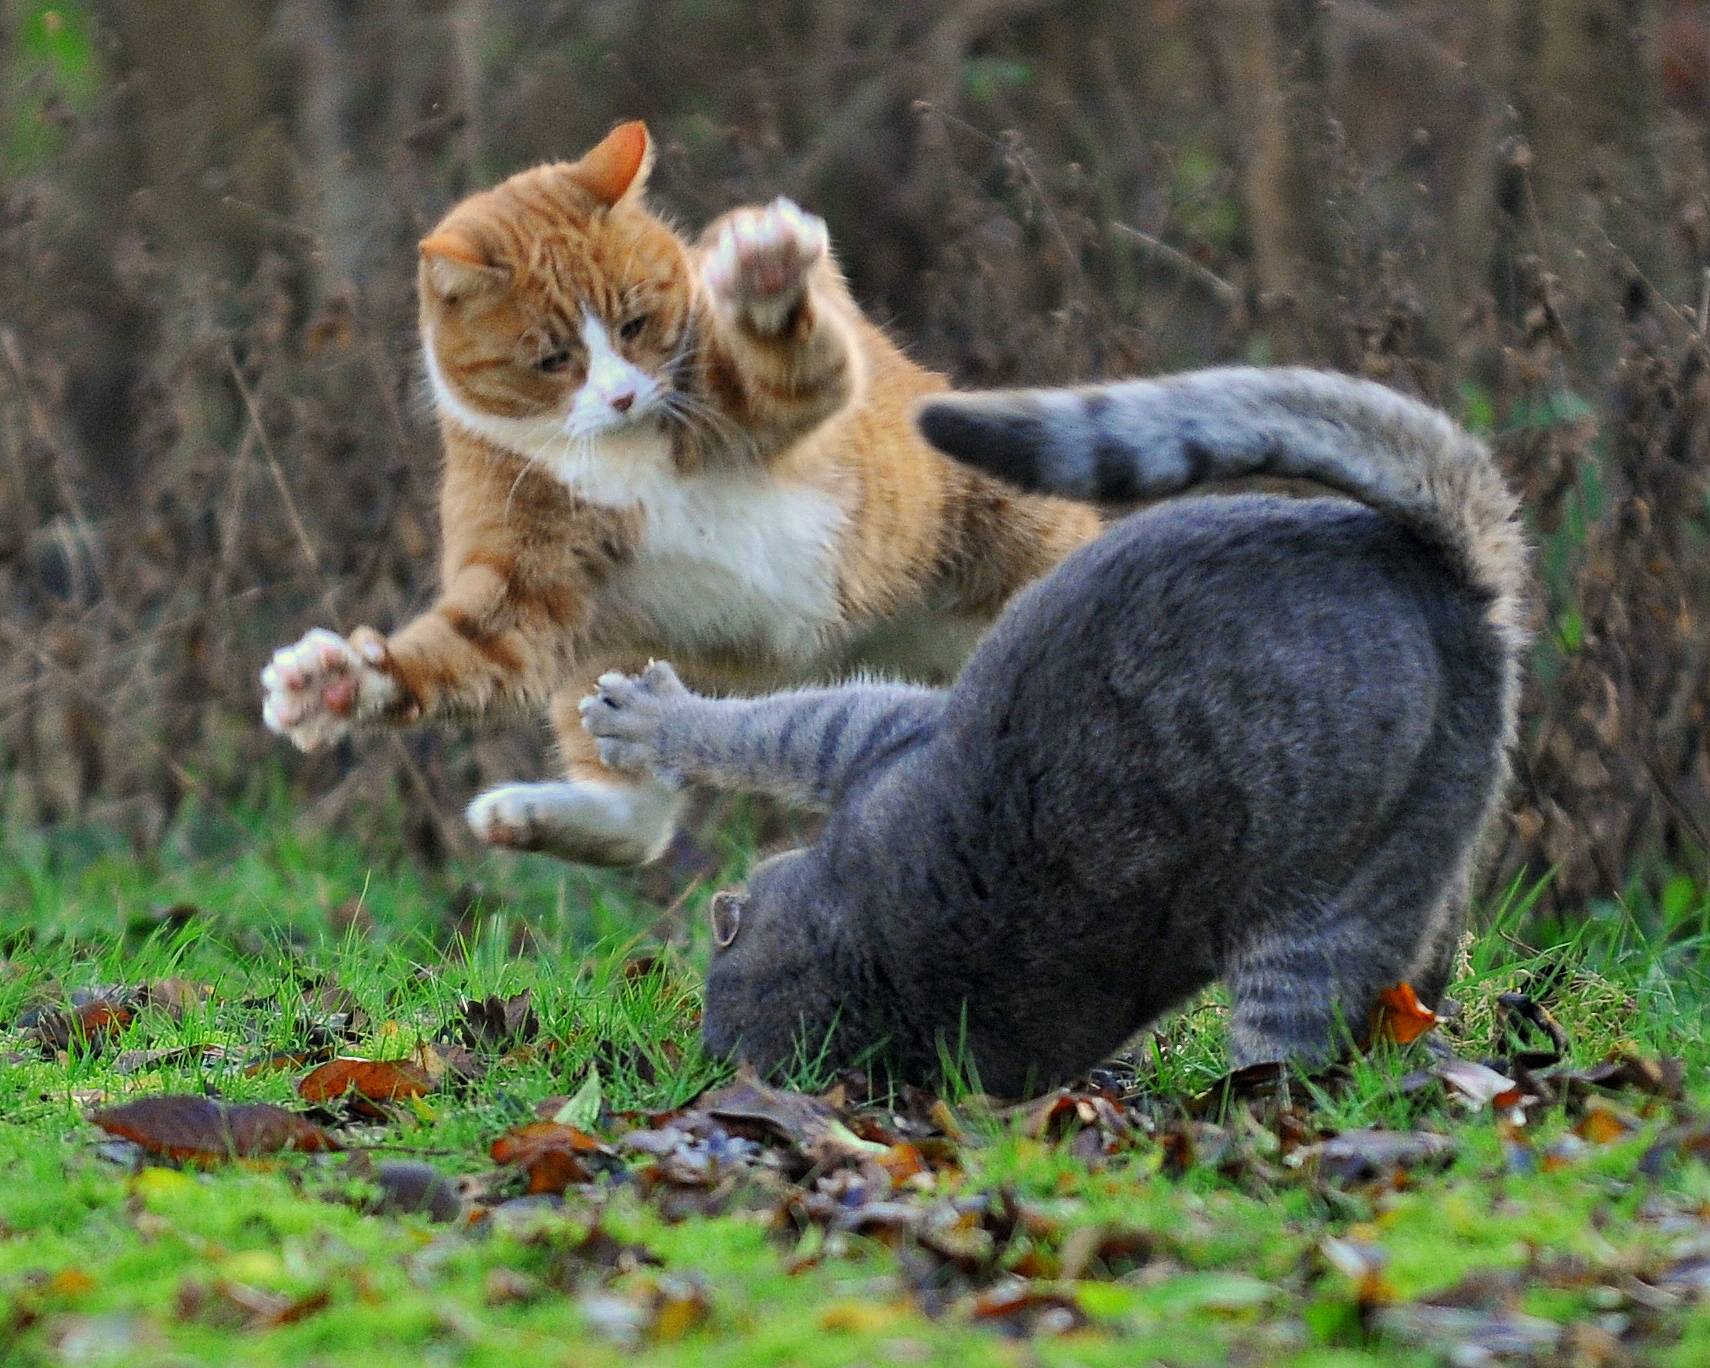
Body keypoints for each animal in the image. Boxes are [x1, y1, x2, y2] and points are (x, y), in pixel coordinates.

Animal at [259, 120, 1101, 865]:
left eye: (634, 323)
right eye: (553, 360)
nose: (624, 396)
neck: (622, 452)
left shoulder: (777, 394)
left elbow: (789, 355)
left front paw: (764, 272)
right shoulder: (523, 581)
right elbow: (464, 650)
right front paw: (335, 685)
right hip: (611, 666)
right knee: (640, 821)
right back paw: (530, 815)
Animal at [581, 369, 1532, 1094]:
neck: (869, 950)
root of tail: (1455, 581)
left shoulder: (873, 733)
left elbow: (757, 729)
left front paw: (645, 715)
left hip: (1316, 928)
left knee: (1295, 1046)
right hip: (1422, 847)